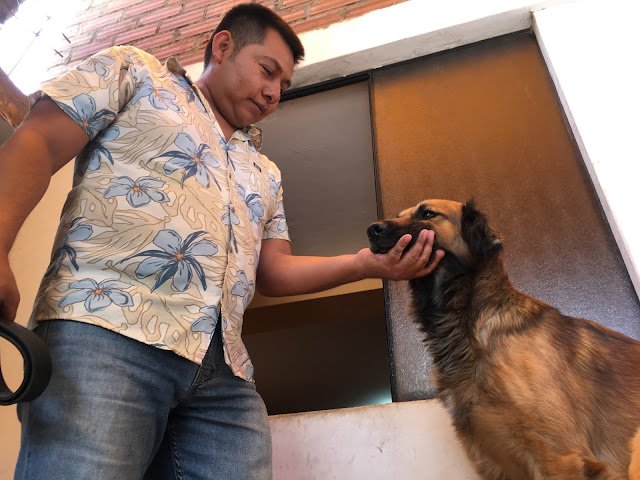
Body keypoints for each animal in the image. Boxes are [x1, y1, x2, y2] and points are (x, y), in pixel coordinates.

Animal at [367, 199, 640, 480]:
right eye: (399, 215)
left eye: (428, 214)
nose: (371, 230)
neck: (469, 325)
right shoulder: (491, 460)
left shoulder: (558, 456)